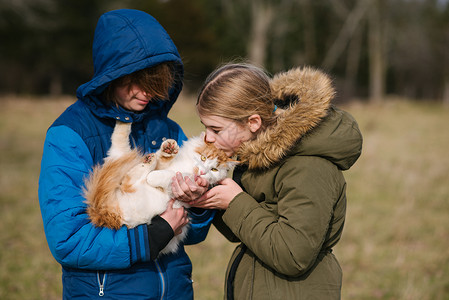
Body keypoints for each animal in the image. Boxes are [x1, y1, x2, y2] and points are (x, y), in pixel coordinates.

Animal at [84, 120, 238, 254]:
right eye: (203, 158)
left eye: (214, 170)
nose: (201, 172)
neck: (187, 166)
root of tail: (102, 213)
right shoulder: (166, 166)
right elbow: (163, 161)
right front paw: (169, 149)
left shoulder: (176, 188)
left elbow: (170, 176)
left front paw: (154, 176)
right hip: (119, 161)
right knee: (120, 143)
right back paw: (126, 125)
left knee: (131, 176)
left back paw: (147, 161)